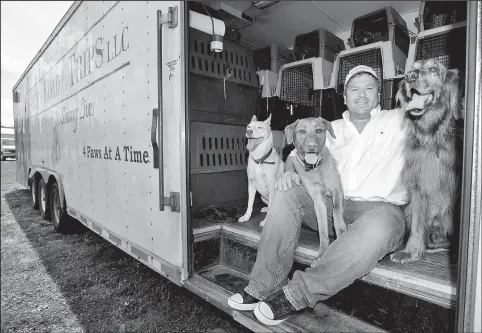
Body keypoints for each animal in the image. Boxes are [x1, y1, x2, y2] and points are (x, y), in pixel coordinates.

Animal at [284, 116, 344, 262]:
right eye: (302, 131)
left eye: (318, 130)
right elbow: (322, 229)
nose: (312, 145)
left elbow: (336, 210)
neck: (316, 168)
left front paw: (341, 232)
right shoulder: (318, 200)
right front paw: (322, 253)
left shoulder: (337, 191)